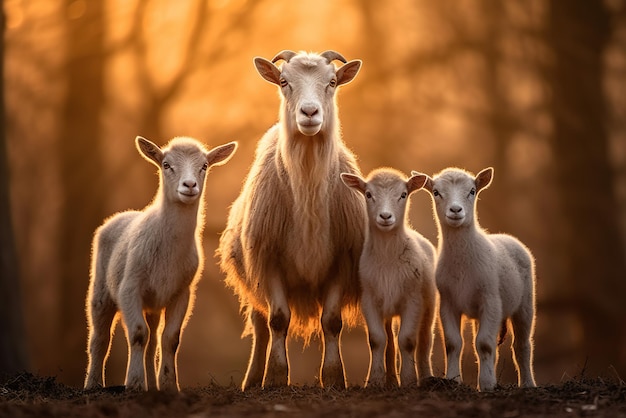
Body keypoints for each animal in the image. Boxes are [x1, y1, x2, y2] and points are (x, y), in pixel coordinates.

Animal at [84, 136, 238, 390]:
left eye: (204, 166)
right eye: (166, 165)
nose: (189, 185)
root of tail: (122, 215)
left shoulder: (182, 292)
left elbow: (170, 339)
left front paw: (168, 384)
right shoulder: (130, 287)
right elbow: (138, 334)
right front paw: (135, 383)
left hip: (153, 303)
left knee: (153, 340)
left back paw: (152, 386)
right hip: (101, 290)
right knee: (100, 339)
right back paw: (93, 383)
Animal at [217, 50, 364, 390]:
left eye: (332, 82)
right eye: (284, 81)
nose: (309, 113)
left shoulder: (342, 260)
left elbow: (331, 321)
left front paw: (334, 377)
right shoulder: (268, 259)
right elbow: (278, 319)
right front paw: (274, 377)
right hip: (252, 274)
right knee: (260, 323)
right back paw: (252, 379)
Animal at [342, 168, 434, 386]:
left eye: (403, 194)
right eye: (368, 194)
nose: (385, 216)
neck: (388, 258)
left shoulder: (413, 299)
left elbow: (407, 340)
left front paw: (409, 380)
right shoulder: (369, 299)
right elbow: (377, 340)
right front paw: (375, 380)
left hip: (429, 304)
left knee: (425, 341)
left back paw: (426, 377)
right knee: (390, 339)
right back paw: (391, 380)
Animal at [416, 167, 532, 392]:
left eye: (472, 191)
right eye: (436, 192)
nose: (455, 210)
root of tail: (506, 236)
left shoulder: (491, 299)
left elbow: (484, 344)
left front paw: (486, 385)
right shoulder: (448, 302)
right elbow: (454, 343)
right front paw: (454, 379)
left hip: (525, 303)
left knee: (522, 346)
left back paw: (528, 383)